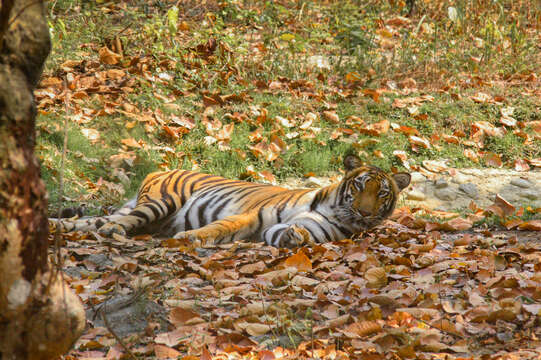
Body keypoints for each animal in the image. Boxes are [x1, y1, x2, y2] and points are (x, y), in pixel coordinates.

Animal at [53, 155, 410, 248]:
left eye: (382, 194)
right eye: (361, 186)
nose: (363, 211)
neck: (334, 208)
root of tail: (160, 168)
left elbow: (296, 233)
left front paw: (293, 235)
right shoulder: (253, 215)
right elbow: (219, 227)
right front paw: (190, 237)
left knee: (90, 221)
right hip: (162, 201)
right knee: (117, 222)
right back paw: (113, 232)